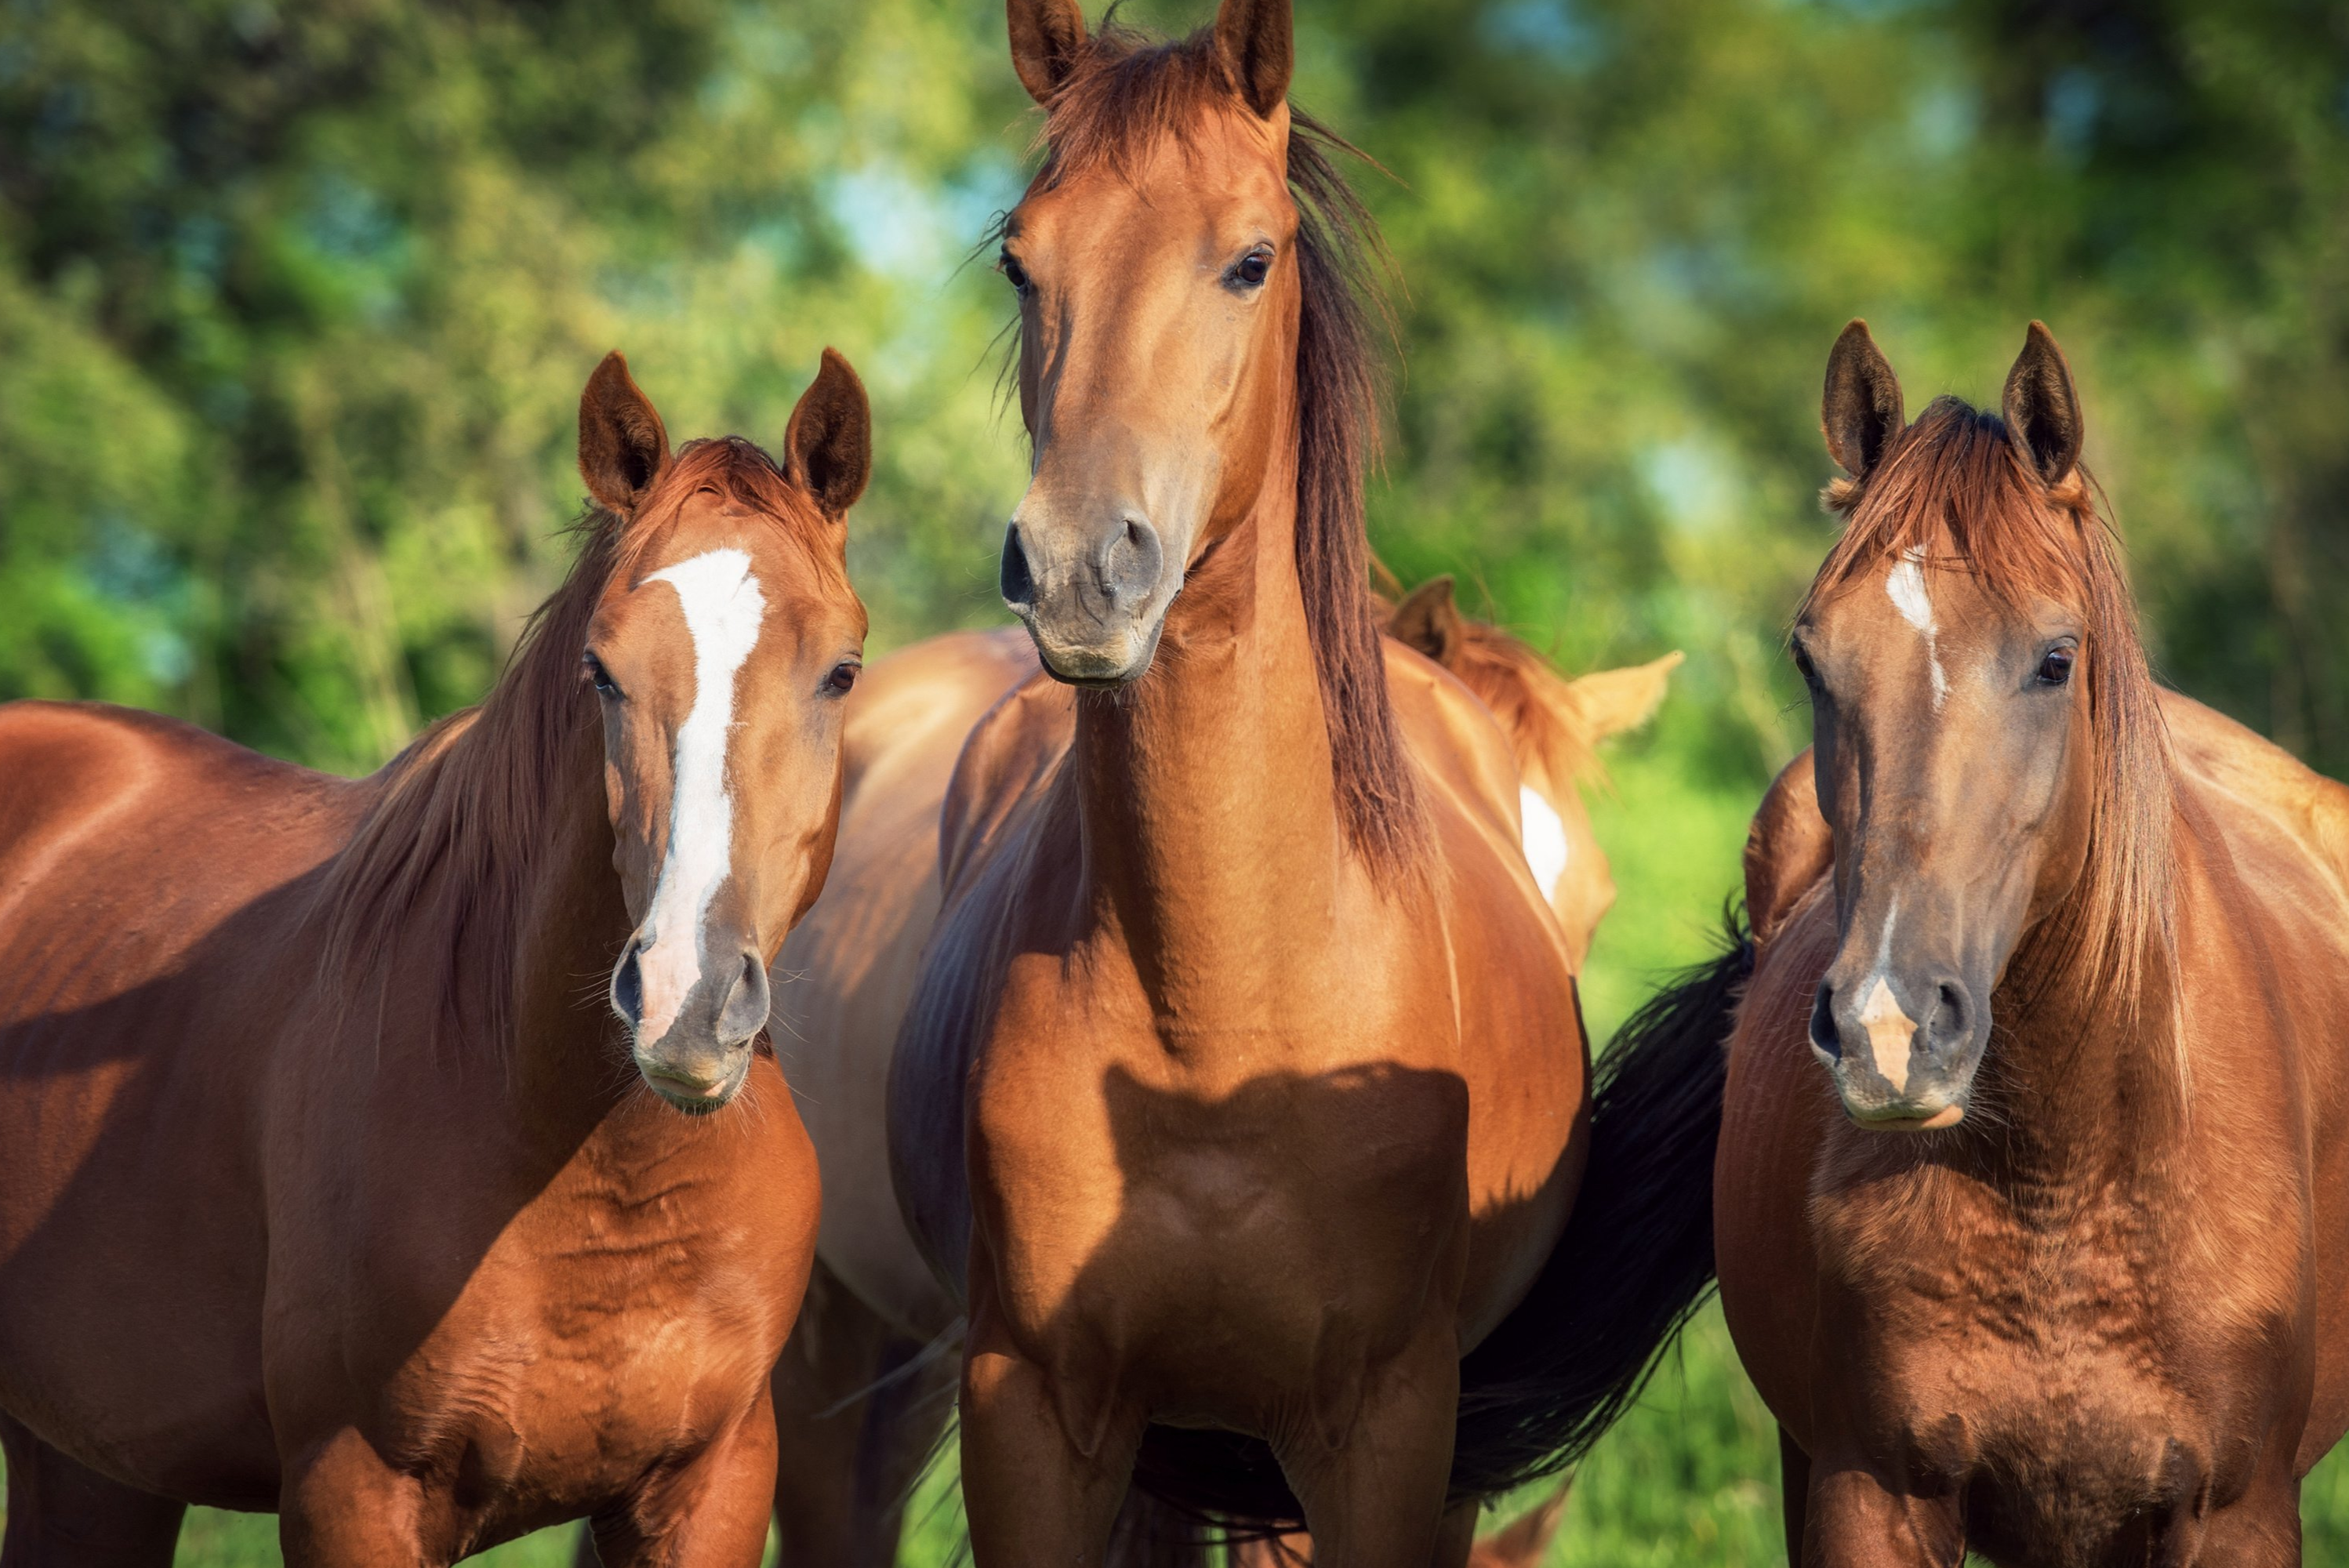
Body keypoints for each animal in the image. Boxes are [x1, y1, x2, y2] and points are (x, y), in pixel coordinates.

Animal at [0, 350, 878, 1559]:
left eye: (840, 671)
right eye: (601, 671)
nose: (687, 1002)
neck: (600, 1175)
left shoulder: (711, 1486)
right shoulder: (353, 1493)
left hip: (92, 1464)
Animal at [1719, 321, 2349, 1567]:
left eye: (2058, 659)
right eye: (1811, 659)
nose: (1888, 1027)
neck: (2068, 1169)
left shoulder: (2240, 1513)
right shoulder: (1868, 1493)